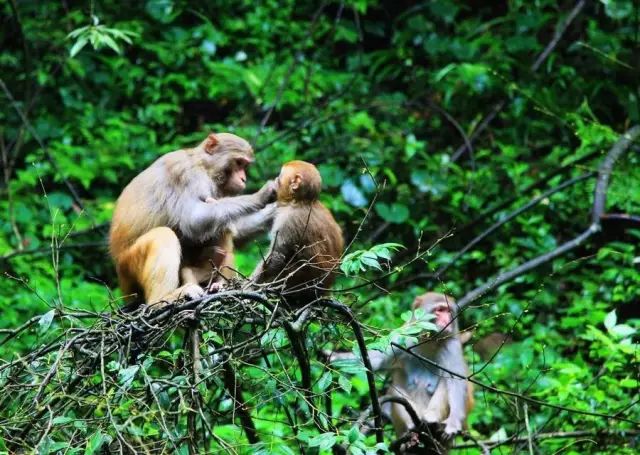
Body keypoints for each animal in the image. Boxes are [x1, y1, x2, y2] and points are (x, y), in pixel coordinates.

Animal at [108, 134, 278, 308]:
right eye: (238, 162)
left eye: (245, 165)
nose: (243, 179)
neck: (203, 165)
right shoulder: (187, 176)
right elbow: (193, 221)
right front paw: (261, 196)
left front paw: (271, 213)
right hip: (129, 266)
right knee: (164, 235)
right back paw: (164, 299)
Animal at [330, 294, 476, 454]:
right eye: (440, 310)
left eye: (449, 311)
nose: (447, 320)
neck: (429, 341)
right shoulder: (403, 336)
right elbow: (376, 361)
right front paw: (332, 357)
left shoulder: (452, 347)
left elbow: (457, 382)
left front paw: (453, 423)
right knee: (397, 393)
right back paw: (411, 435)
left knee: (445, 384)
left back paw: (431, 420)